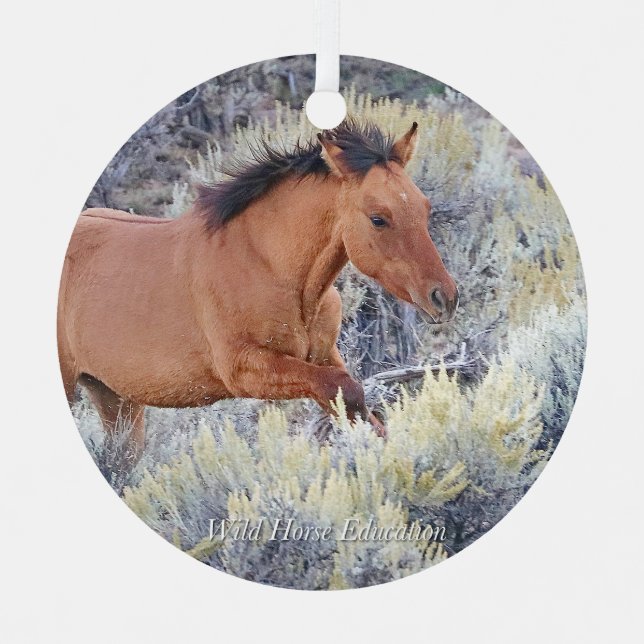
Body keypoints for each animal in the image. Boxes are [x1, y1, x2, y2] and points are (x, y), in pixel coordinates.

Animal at [57, 119, 458, 456]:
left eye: (425, 209)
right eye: (378, 219)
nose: (445, 298)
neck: (268, 266)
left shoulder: (322, 357)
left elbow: (353, 401)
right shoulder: (244, 369)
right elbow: (347, 390)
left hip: (115, 398)